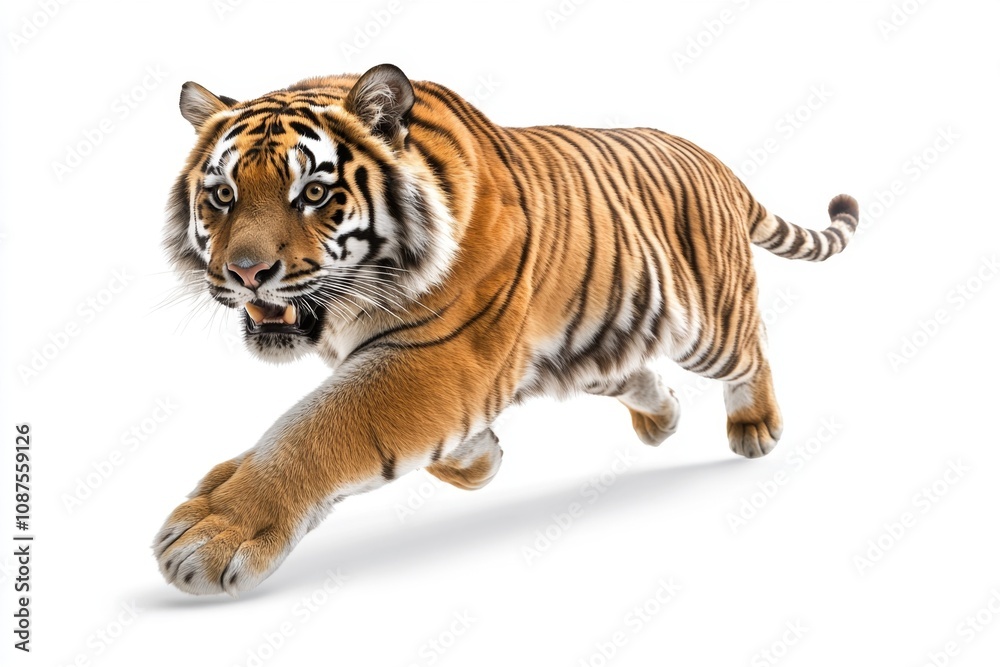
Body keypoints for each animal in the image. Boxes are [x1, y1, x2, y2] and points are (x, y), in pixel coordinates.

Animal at [154, 63, 858, 595]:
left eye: (314, 194)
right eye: (222, 196)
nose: (246, 273)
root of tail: (717, 162)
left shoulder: (438, 357)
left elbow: (317, 427)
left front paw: (211, 532)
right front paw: (481, 458)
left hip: (708, 324)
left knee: (751, 353)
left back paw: (754, 427)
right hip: (595, 341)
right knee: (635, 374)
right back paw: (661, 421)